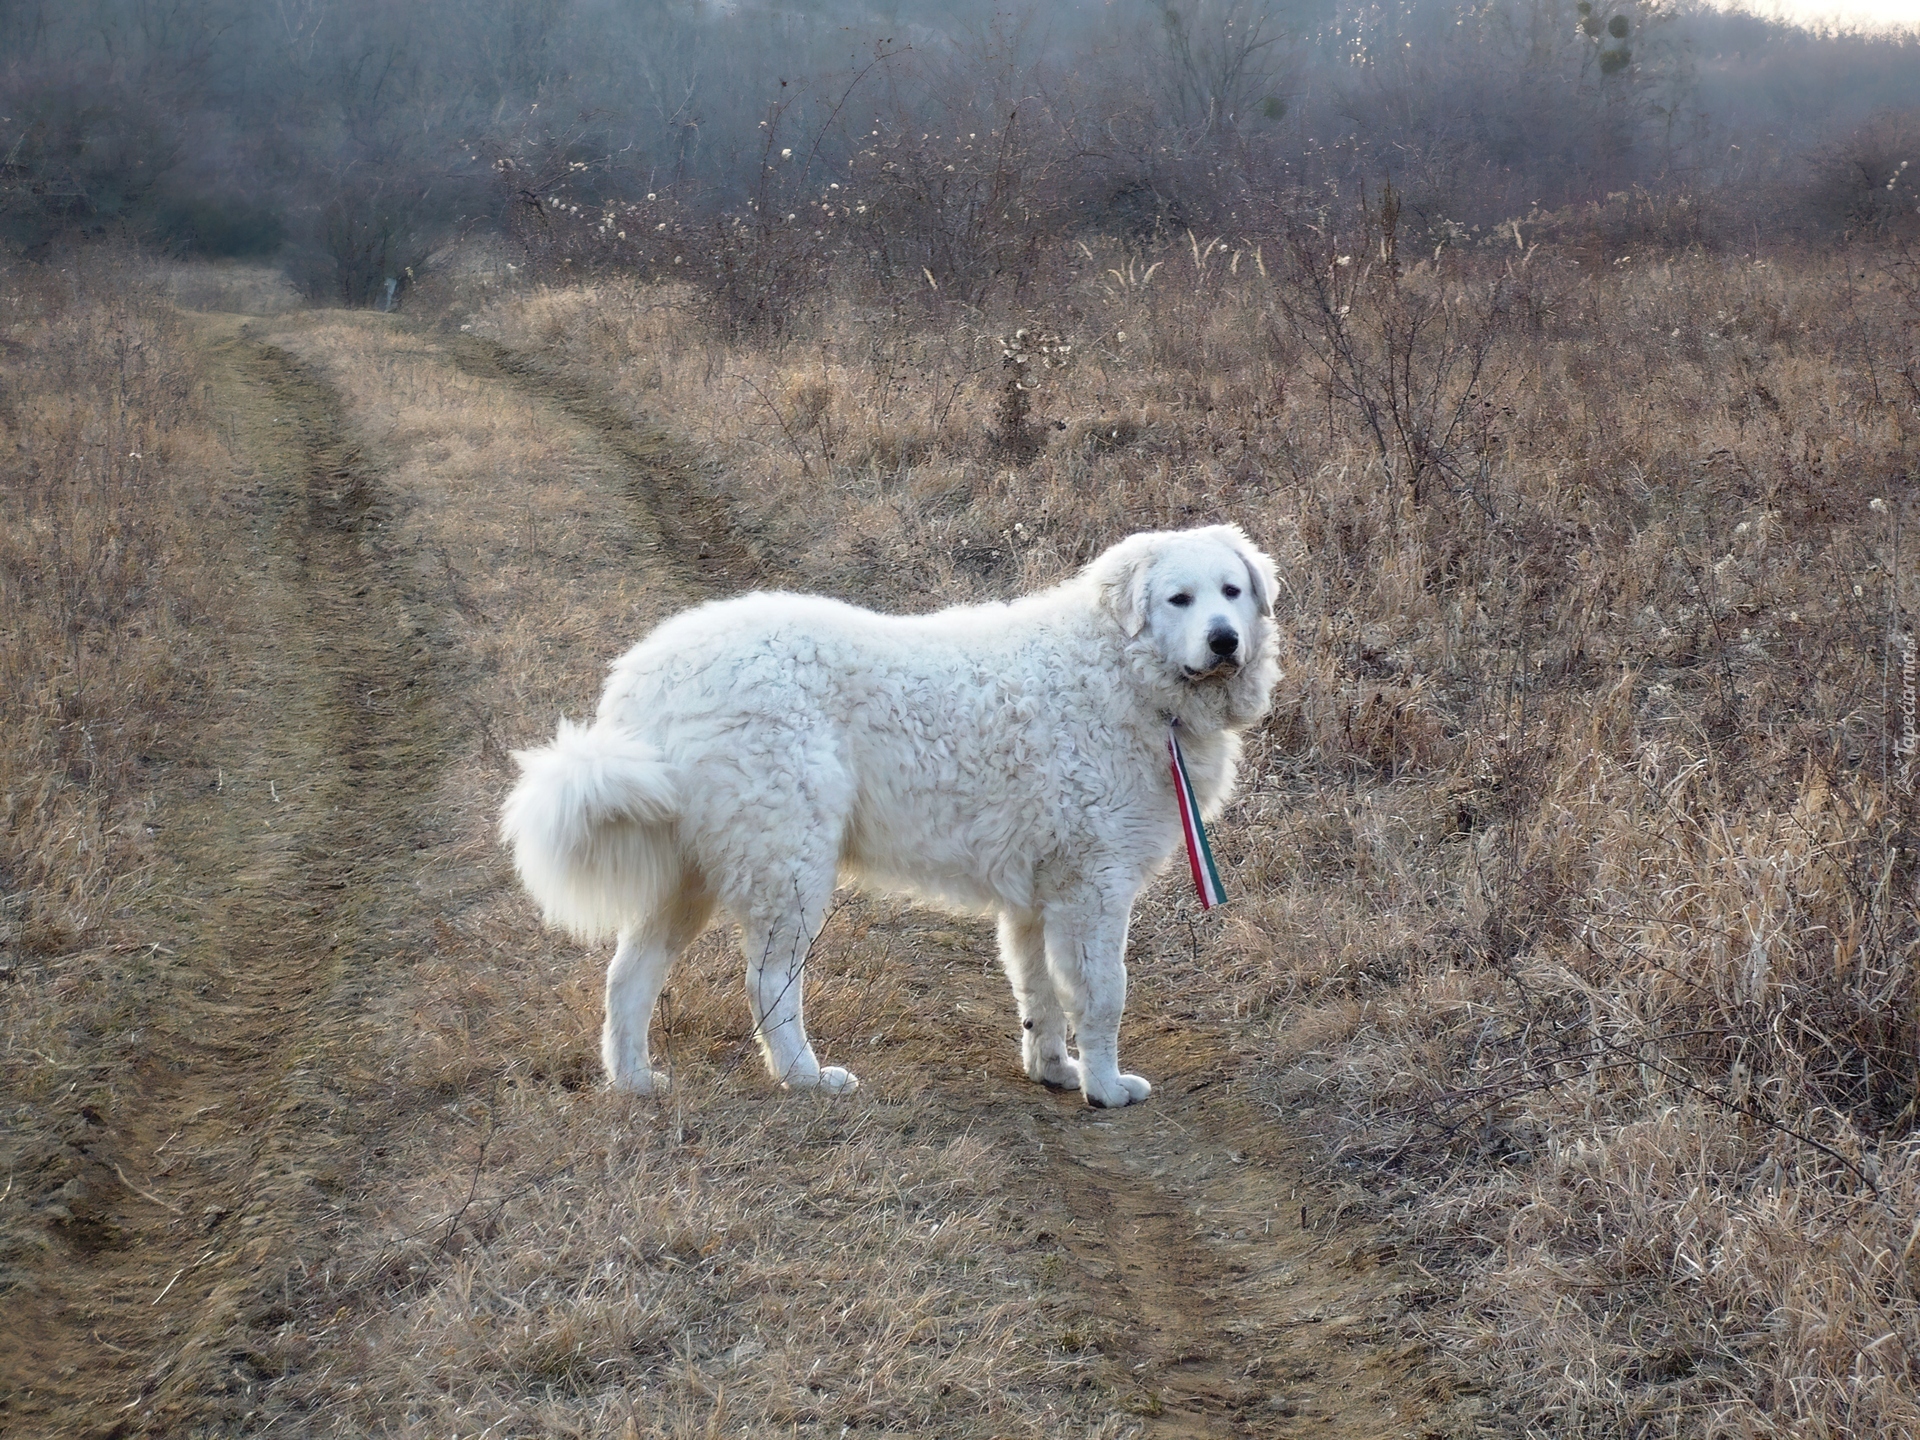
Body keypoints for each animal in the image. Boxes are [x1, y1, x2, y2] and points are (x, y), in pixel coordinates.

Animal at [499, 526, 1274, 1113]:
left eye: (1232, 592)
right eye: (1179, 598)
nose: (1225, 640)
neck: (1119, 668)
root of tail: (648, 679)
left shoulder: (1039, 896)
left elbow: (1040, 995)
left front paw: (1056, 1071)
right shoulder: (1094, 887)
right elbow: (1103, 995)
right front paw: (1107, 1088)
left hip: (693, 876)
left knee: (628, 977)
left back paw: (635, 1082)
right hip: (789, 865)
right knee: (767, 983)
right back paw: (806, 1077)